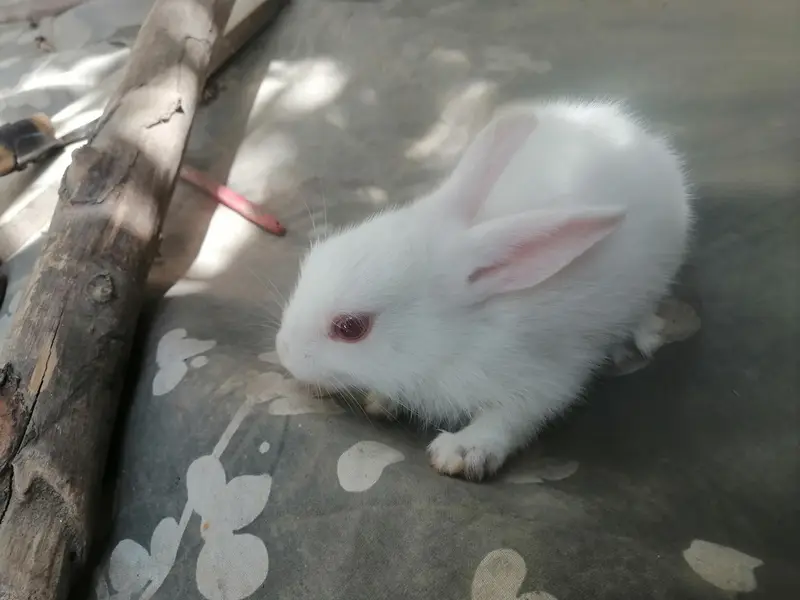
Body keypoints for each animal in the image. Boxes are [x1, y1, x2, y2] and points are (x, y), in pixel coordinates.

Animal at [275, 98, 692, 481]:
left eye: (351, 328)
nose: (283, 351)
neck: (457, 338)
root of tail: (639, 137)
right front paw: (383, 400)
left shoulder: (545, 378)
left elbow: (512, 416)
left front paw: (462, 451)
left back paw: (648, 335)